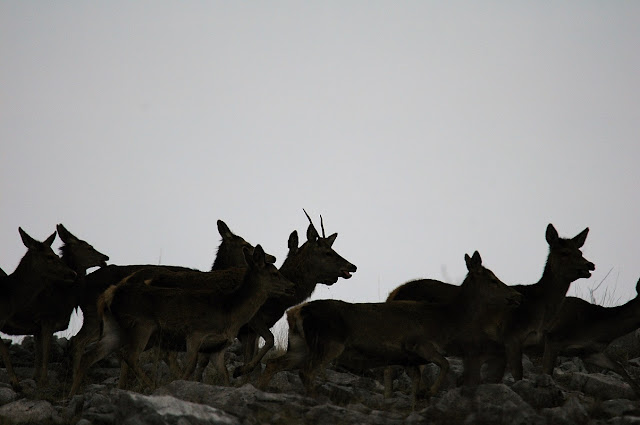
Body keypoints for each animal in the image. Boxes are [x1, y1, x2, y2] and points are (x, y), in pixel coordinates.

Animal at [69, 245, 294, 396]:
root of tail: (109, 295)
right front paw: (180, 386)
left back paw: (73, 393)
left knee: (91, 354)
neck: (229, 312)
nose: (290, 286)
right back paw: (152, 386)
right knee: (129, 355)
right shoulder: (194, 334)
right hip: (142, 325)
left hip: (114, 329)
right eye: (275, 273)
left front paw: (235, 378)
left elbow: (224, 376)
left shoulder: (218, 348)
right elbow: (190, 367)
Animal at [257, 251, 521, 407]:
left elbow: (416, 383)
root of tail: (295, 312)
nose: (515, 295)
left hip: (300, 345)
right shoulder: (418, 343)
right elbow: (445, 364)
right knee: (307, 372)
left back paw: (262, 390)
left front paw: (418, 401)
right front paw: (428, 394)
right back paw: (315, 400)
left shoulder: (409, 359)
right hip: (329, 342)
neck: (445, 320)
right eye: (492, 280)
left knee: (274, 364)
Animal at [384, 224, 595, 385]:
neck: (537, 309)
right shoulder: (511, 335)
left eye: (580, 251)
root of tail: (393, 294)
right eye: (565, 253)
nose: (590, 265)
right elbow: (517, 374)